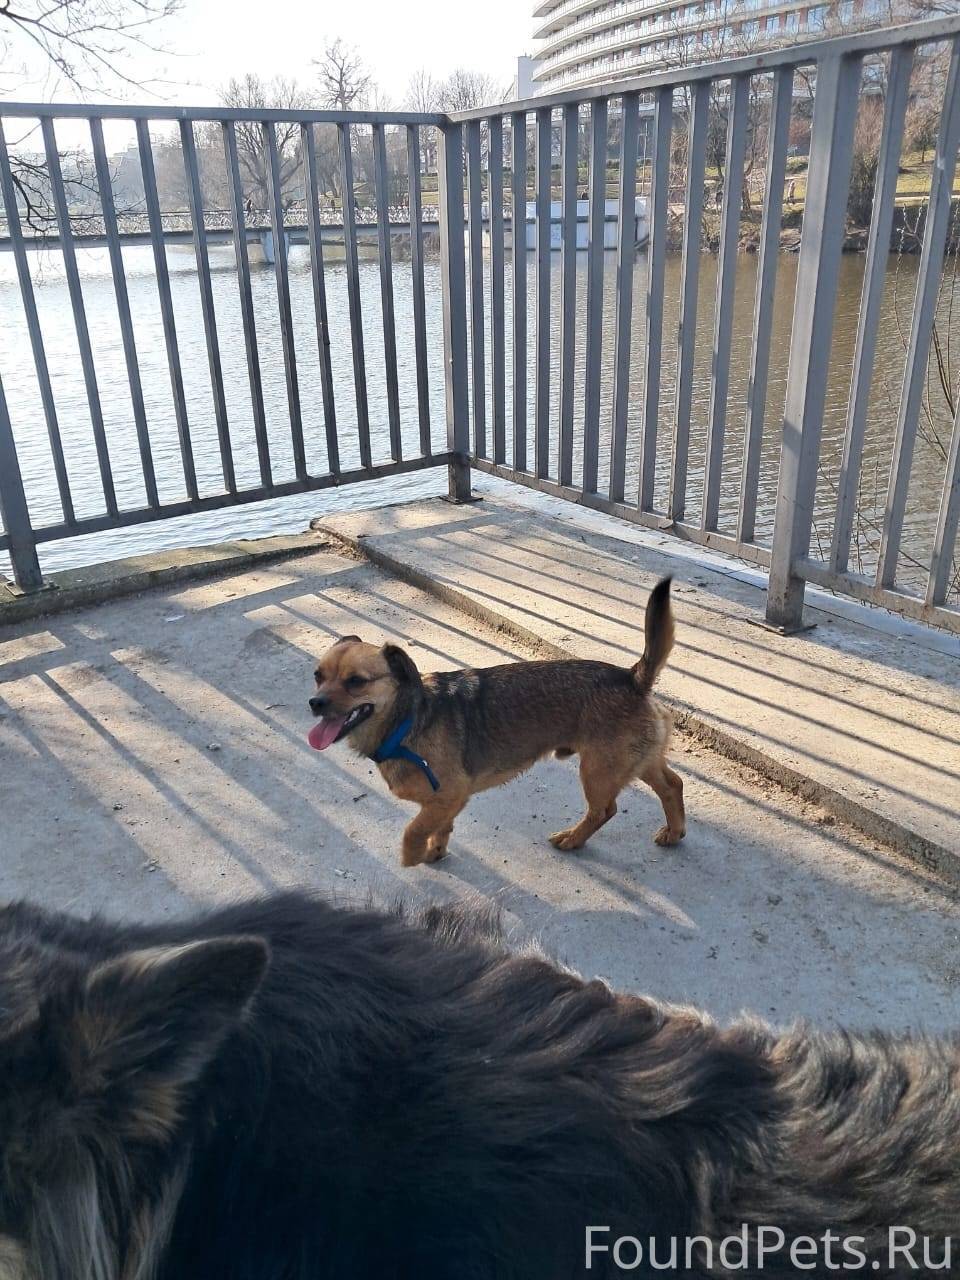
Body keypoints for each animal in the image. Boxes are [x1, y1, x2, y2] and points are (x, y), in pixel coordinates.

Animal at [307, 577, 684, 866]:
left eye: (356, 681)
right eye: (318, 676)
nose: (315, 703)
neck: (407, 721)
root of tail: (631, 678)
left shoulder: (448, 796)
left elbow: (413, 830)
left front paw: (412, 856)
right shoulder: (444, 804)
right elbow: (439, 827)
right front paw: (436, 851)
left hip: (598, 770)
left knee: (605, 810)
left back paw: (573, 839)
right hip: (635, 761)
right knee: (672, 785)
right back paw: (674, 831)